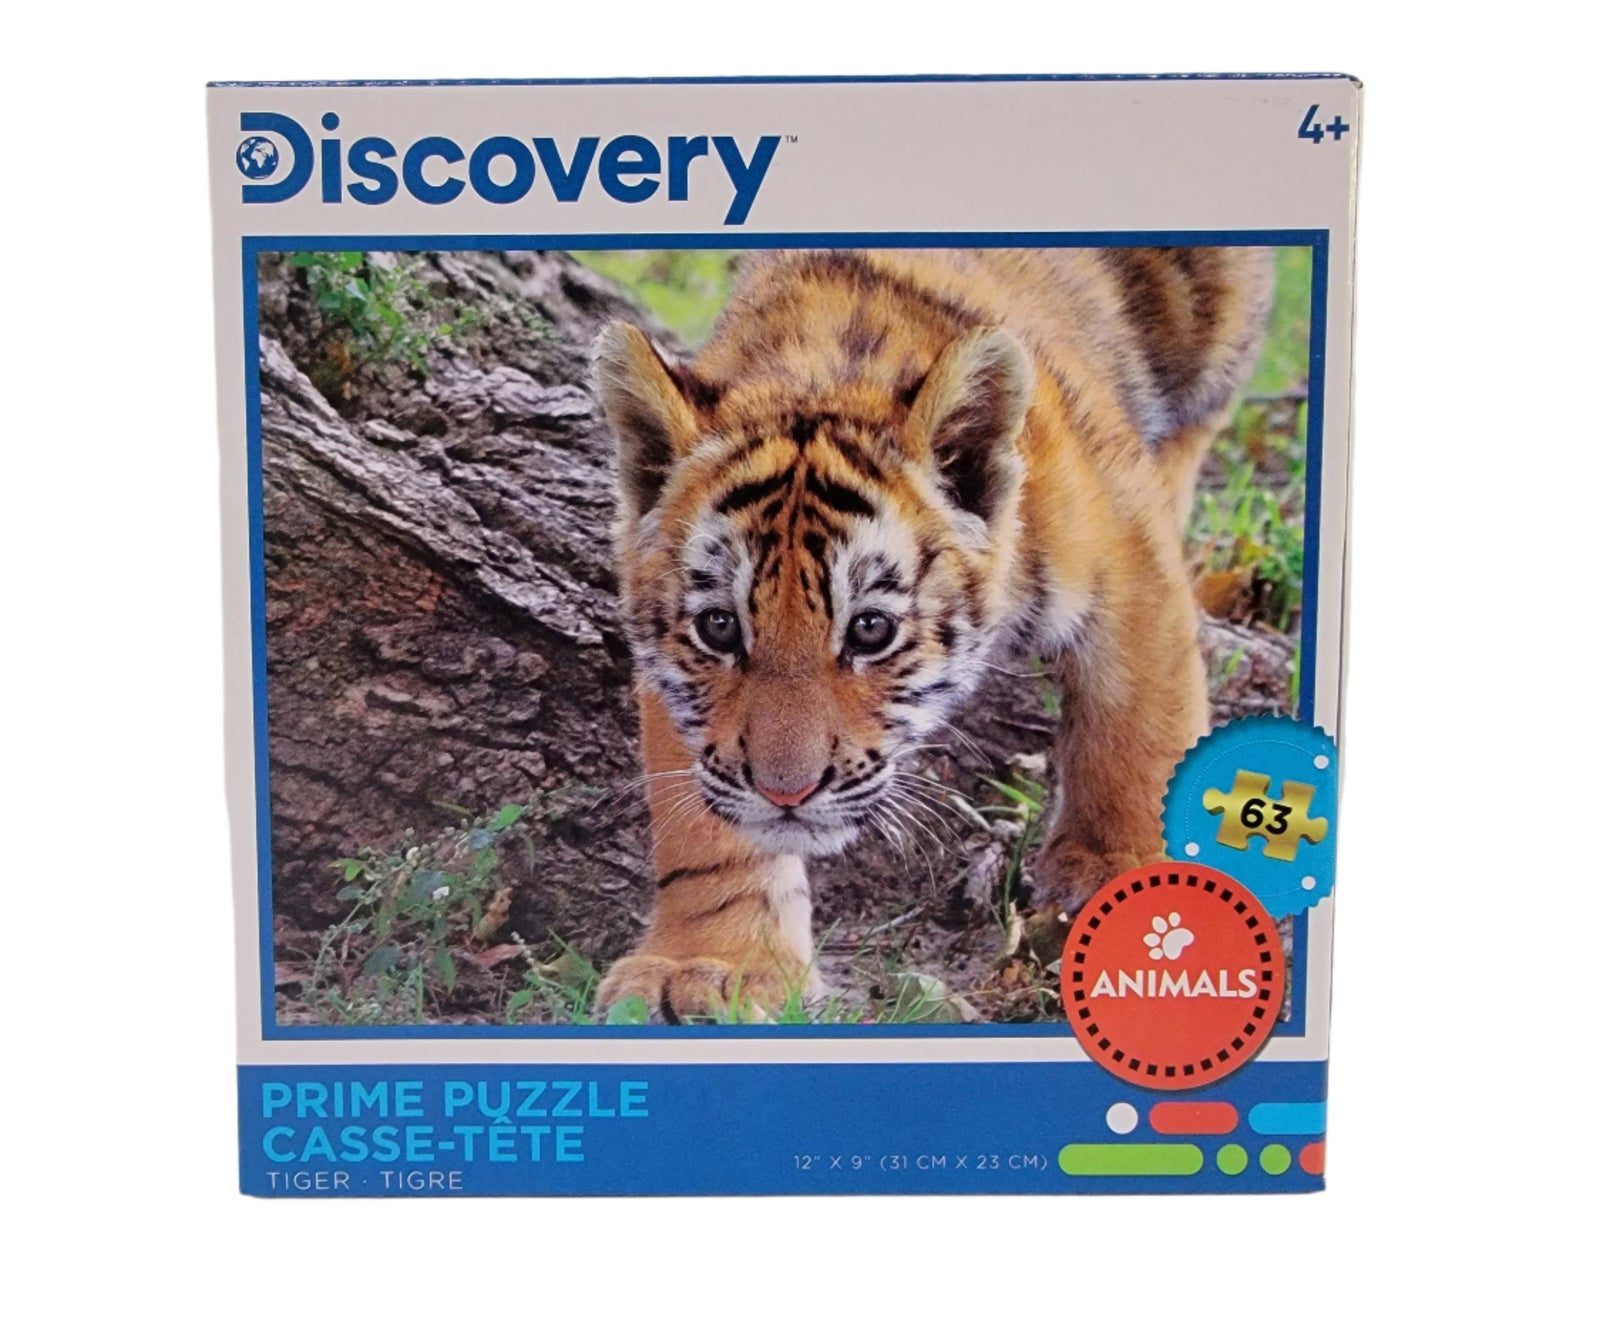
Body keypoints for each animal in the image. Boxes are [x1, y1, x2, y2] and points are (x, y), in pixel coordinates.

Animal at [590, 247, 1275, 1020]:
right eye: (719, 626)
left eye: (870, 630)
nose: (786, 793)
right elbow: (702, 828)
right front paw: (711, 964)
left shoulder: (1127, 556)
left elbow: (1137, 730)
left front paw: (1128, 884)